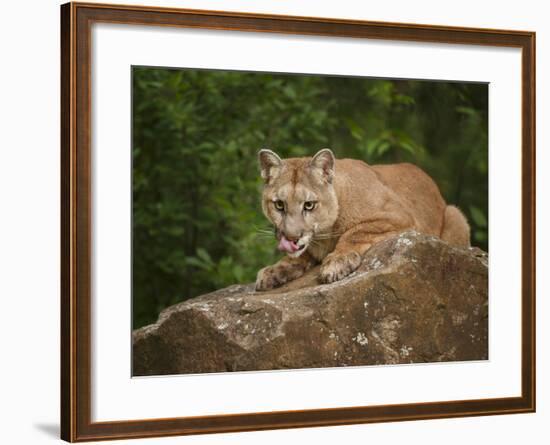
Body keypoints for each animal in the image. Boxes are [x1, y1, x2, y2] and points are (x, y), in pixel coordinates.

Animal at [256, 147, 472, 290]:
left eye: (309, 205)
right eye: (279, 205)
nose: (291, 238)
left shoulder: (400, 217)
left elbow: (354, 232)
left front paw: (337, 262)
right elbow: (300, 255)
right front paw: (275, 270)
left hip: (455, 214)